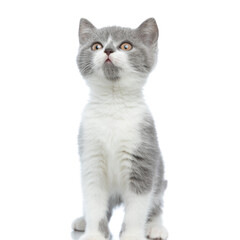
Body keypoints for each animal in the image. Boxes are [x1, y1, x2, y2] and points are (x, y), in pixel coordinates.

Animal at [72, 18, 168, 240]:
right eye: (96, 46)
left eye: (126, 46)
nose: (108, 49)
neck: (113, 102)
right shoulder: (91, 157)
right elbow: (94, 202)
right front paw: (94, 234)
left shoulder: (143, 156)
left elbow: (138, 206)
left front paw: (132, 234)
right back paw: (83, 221)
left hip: (159, 175)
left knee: (156, 203)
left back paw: (155, 226)